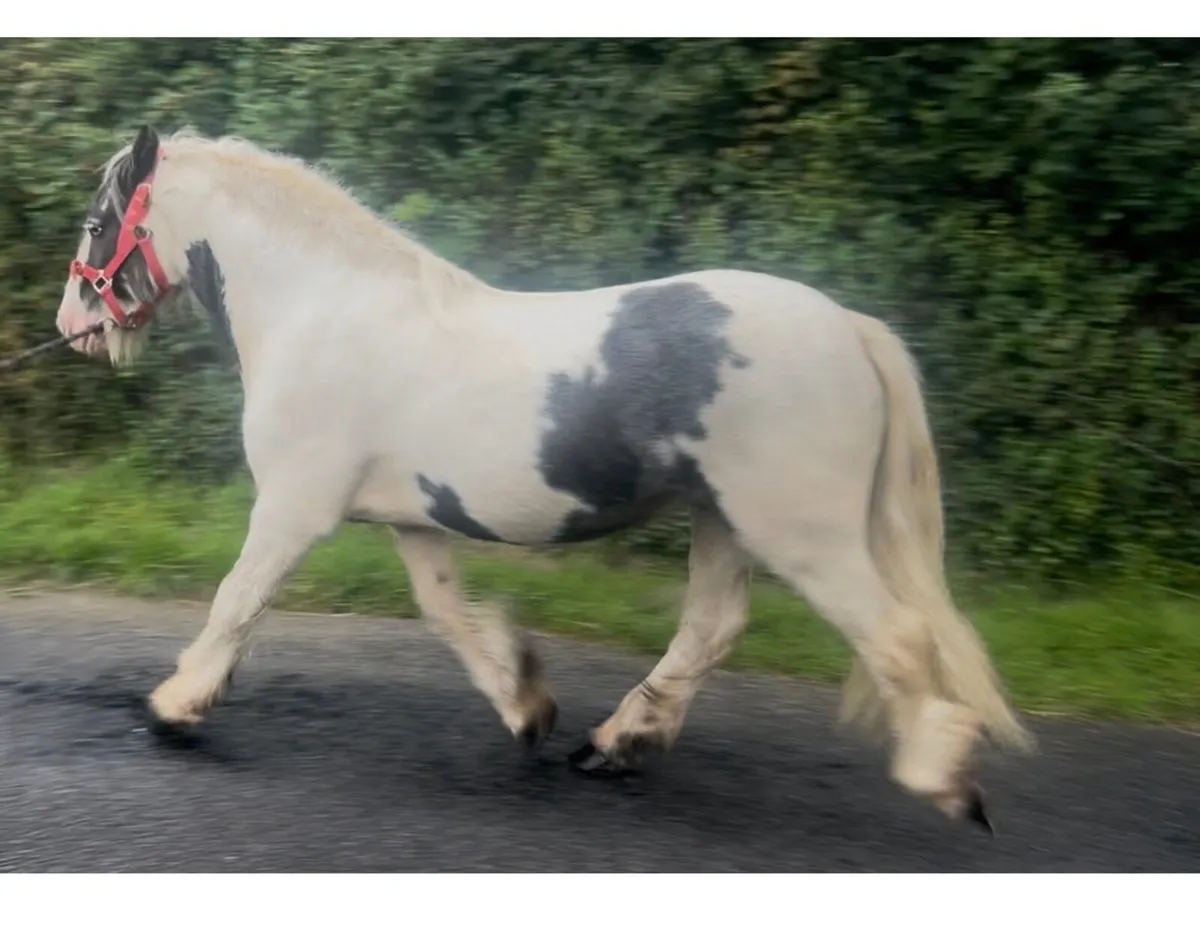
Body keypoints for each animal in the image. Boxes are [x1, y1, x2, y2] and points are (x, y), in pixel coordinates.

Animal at [55, 124, 1034, 832]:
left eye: (98, 223)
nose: (71, 326)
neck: (326, 311)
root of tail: (850, 329)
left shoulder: (296, 507)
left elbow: (238, 600)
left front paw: (176, 707)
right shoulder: (413, 521)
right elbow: (447, 614)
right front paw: (526, 705)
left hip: (802, 531)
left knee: (895, 636)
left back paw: (944, 778)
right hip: (725, 519)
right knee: (714, 627)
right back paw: (616, 743)